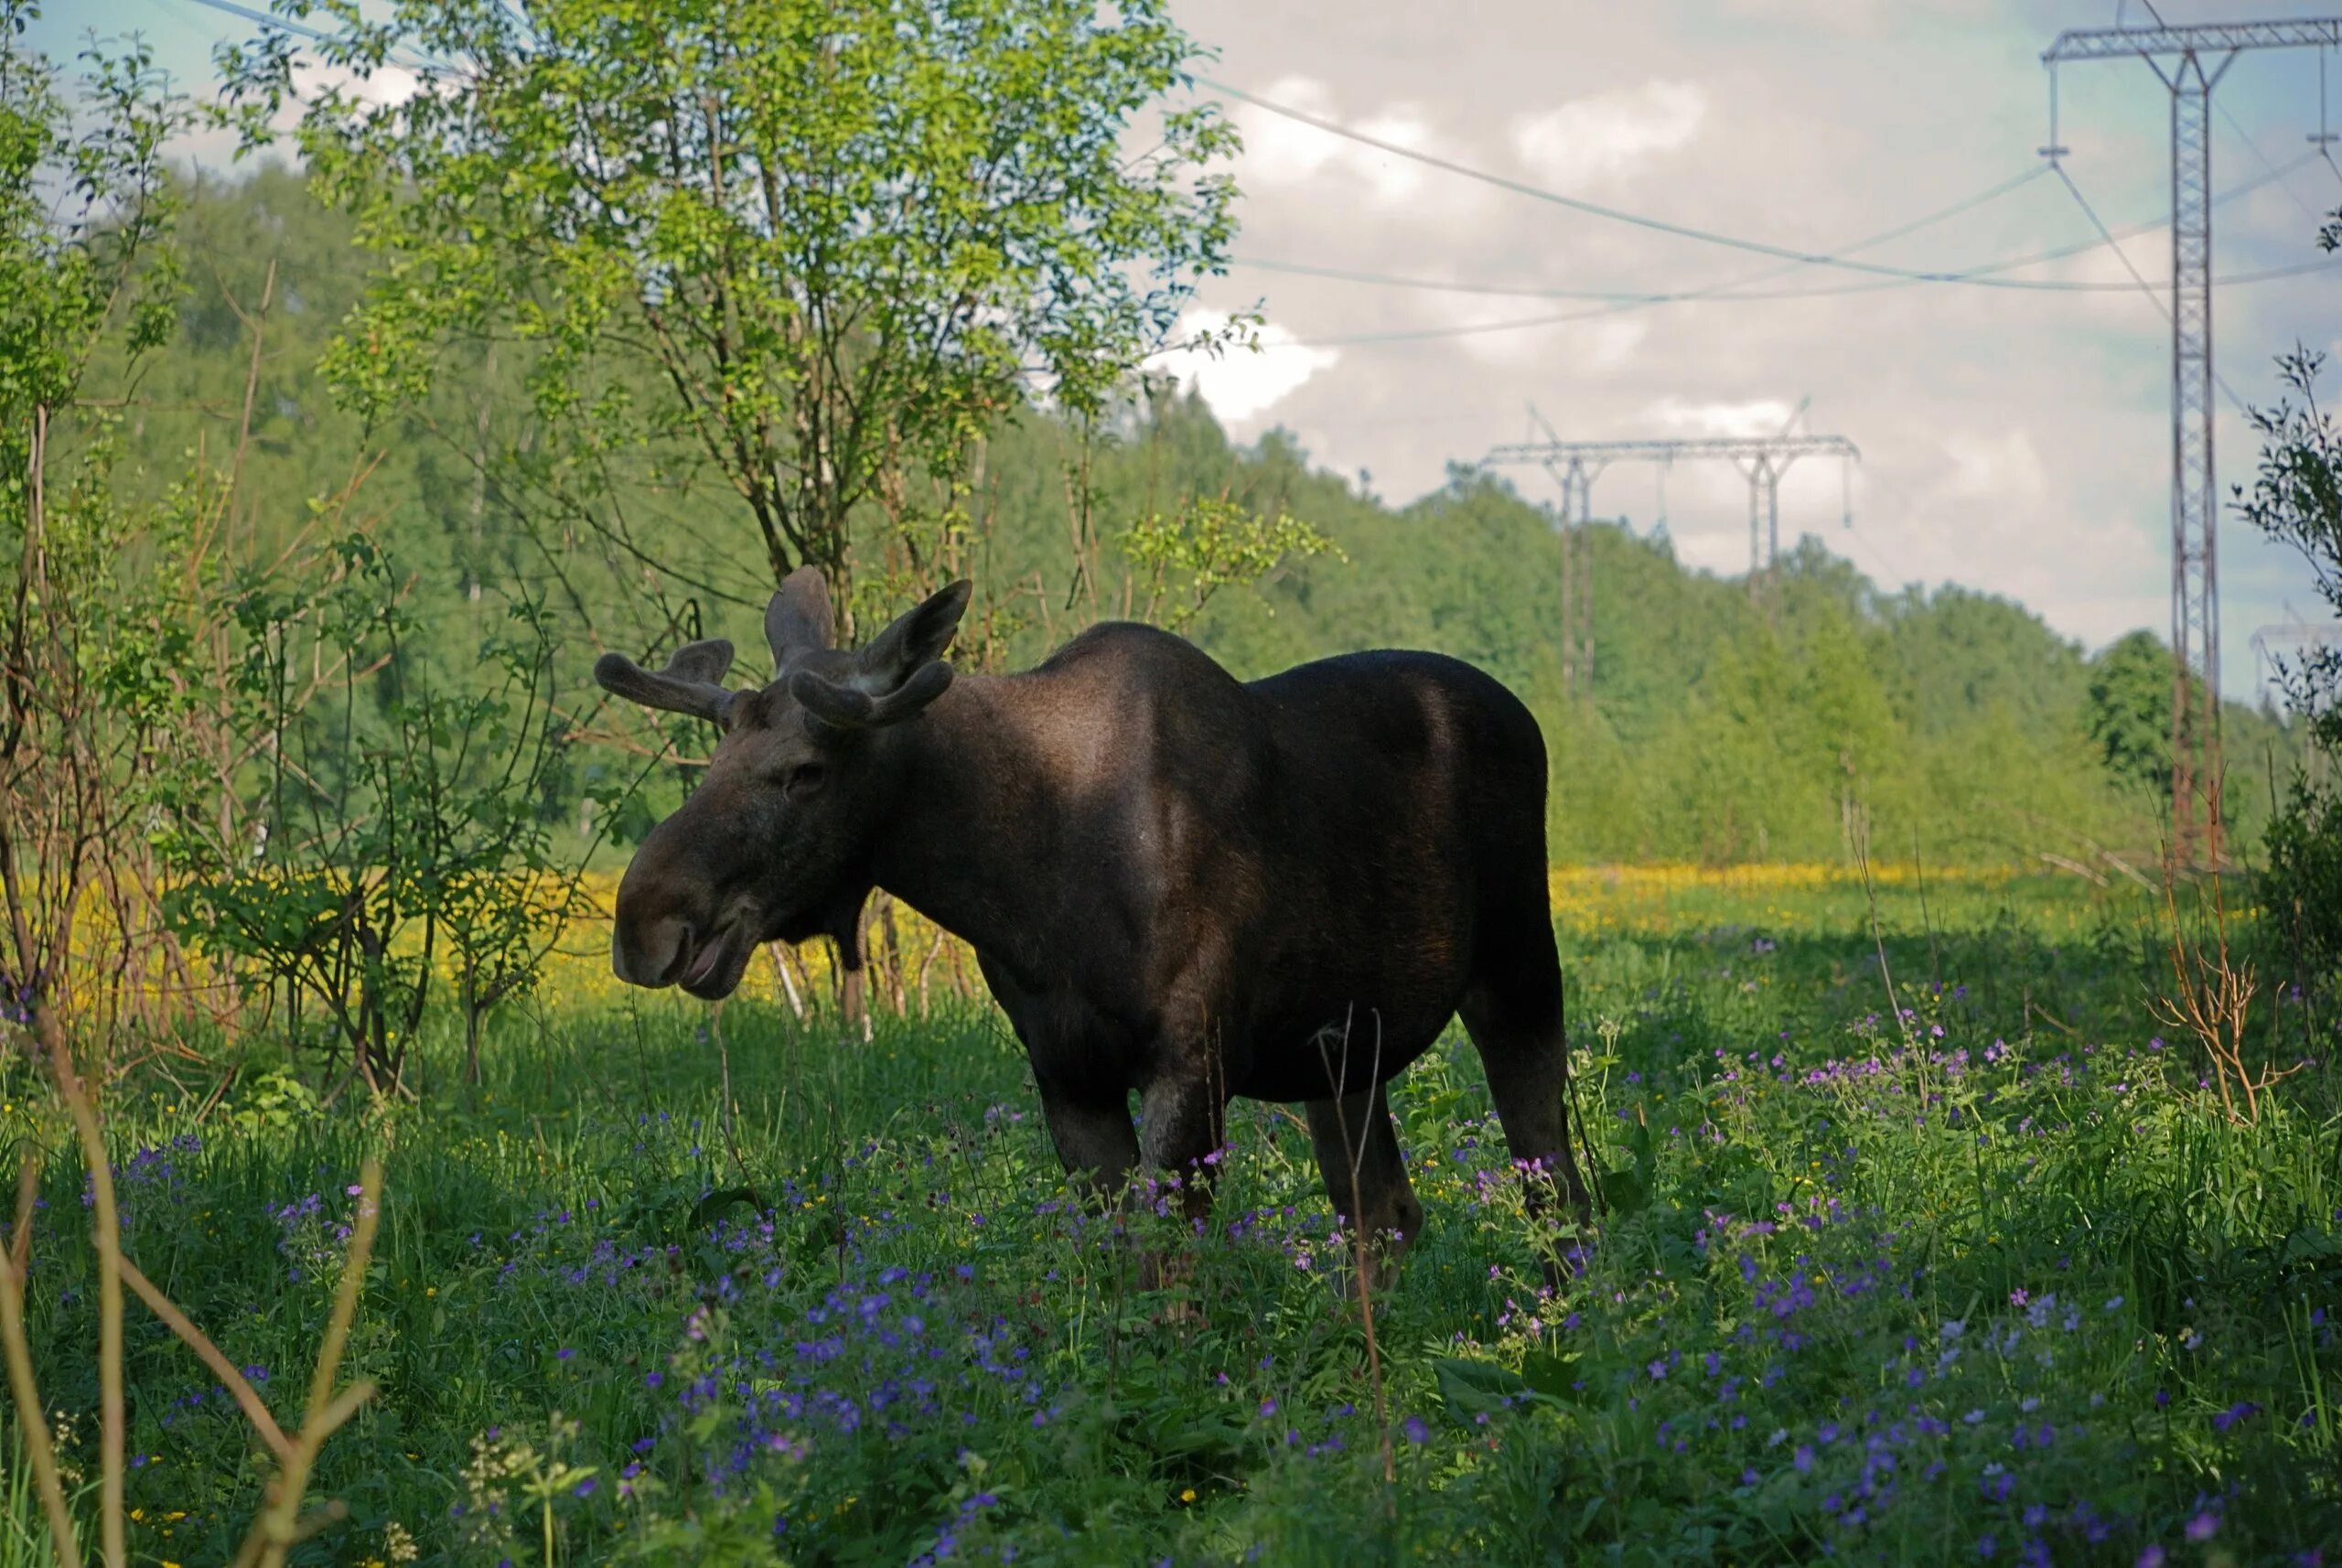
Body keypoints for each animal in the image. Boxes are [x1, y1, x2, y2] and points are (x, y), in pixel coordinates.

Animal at [595, 571, 1602, 1282]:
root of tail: (1528, 717)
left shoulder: (1192, 1060)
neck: (1025, 885)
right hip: (1340, 1052)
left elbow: (1171, 1280)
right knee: (1386, 1214)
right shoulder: (1066, 1074)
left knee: (1558, 1190)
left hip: (1518, 966)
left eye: (806, 771)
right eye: (715, 756)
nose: (645, 921)